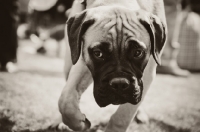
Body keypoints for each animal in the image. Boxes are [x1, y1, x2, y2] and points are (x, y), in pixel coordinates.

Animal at [58, 0, 167, 131]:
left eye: (137, 52)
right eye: (98, 53)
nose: (119, 84)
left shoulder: (147, 74)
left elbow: (122, 117)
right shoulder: (82, 61)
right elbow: (65, 101)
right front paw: (79, 122)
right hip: (68, 64)